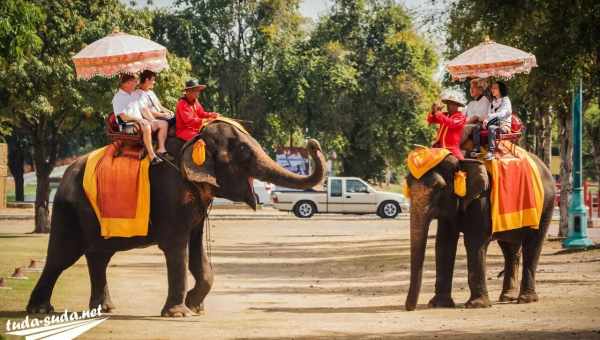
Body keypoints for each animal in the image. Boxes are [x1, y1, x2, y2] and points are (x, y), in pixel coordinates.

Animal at [25, 121, 326, 318]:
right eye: (243, 150)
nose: (312, 143)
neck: (192, 140)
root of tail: (64, 176)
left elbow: (196, 249)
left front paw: (195, 307)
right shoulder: (172, 193)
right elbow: (177, 248)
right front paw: (179, 313)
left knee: (99, 254)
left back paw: (104, 308)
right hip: (69, 208)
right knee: (62, 256)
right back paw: (41, 310)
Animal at [406, 153, 556, 312]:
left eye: (438, 188)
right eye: (407, 185)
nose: (409, 308)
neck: (462, 161)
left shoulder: (482, 199)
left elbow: (474, 243)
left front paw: (476, 305)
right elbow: (444, 243)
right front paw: (438, 304)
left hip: (545, 206)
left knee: (533, 243)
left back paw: (526, 299)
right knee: (510, 249)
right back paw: (508, 297)